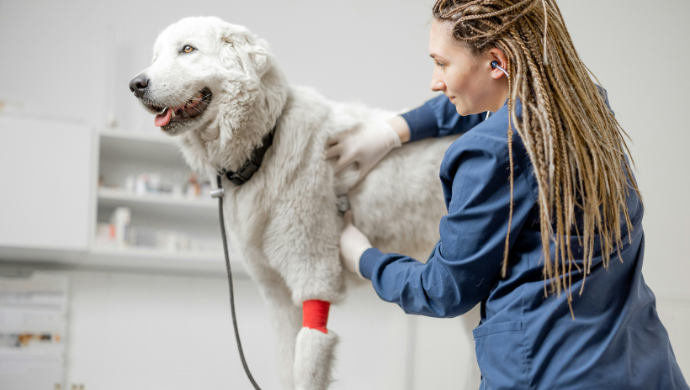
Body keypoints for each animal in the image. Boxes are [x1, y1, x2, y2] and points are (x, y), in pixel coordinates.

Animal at [130, 16, 478, 390]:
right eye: (155, 57)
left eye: (187, 49)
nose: (135, 84)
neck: (265, 145)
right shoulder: (278, 298)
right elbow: (287, 365)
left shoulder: (313, 277)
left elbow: (307, 361)